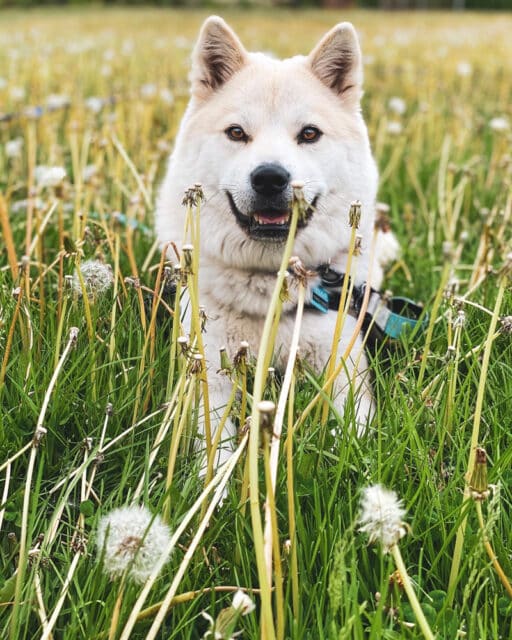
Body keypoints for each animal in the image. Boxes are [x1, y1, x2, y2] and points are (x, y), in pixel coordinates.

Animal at [155, 16, 396, 464]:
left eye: (309, 134)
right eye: (236, 132)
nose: (269, 177)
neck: (270, 286)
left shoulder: (343, 363)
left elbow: (354, 430)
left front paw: (350, 460)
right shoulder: (209, 370)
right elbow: (213, 442)